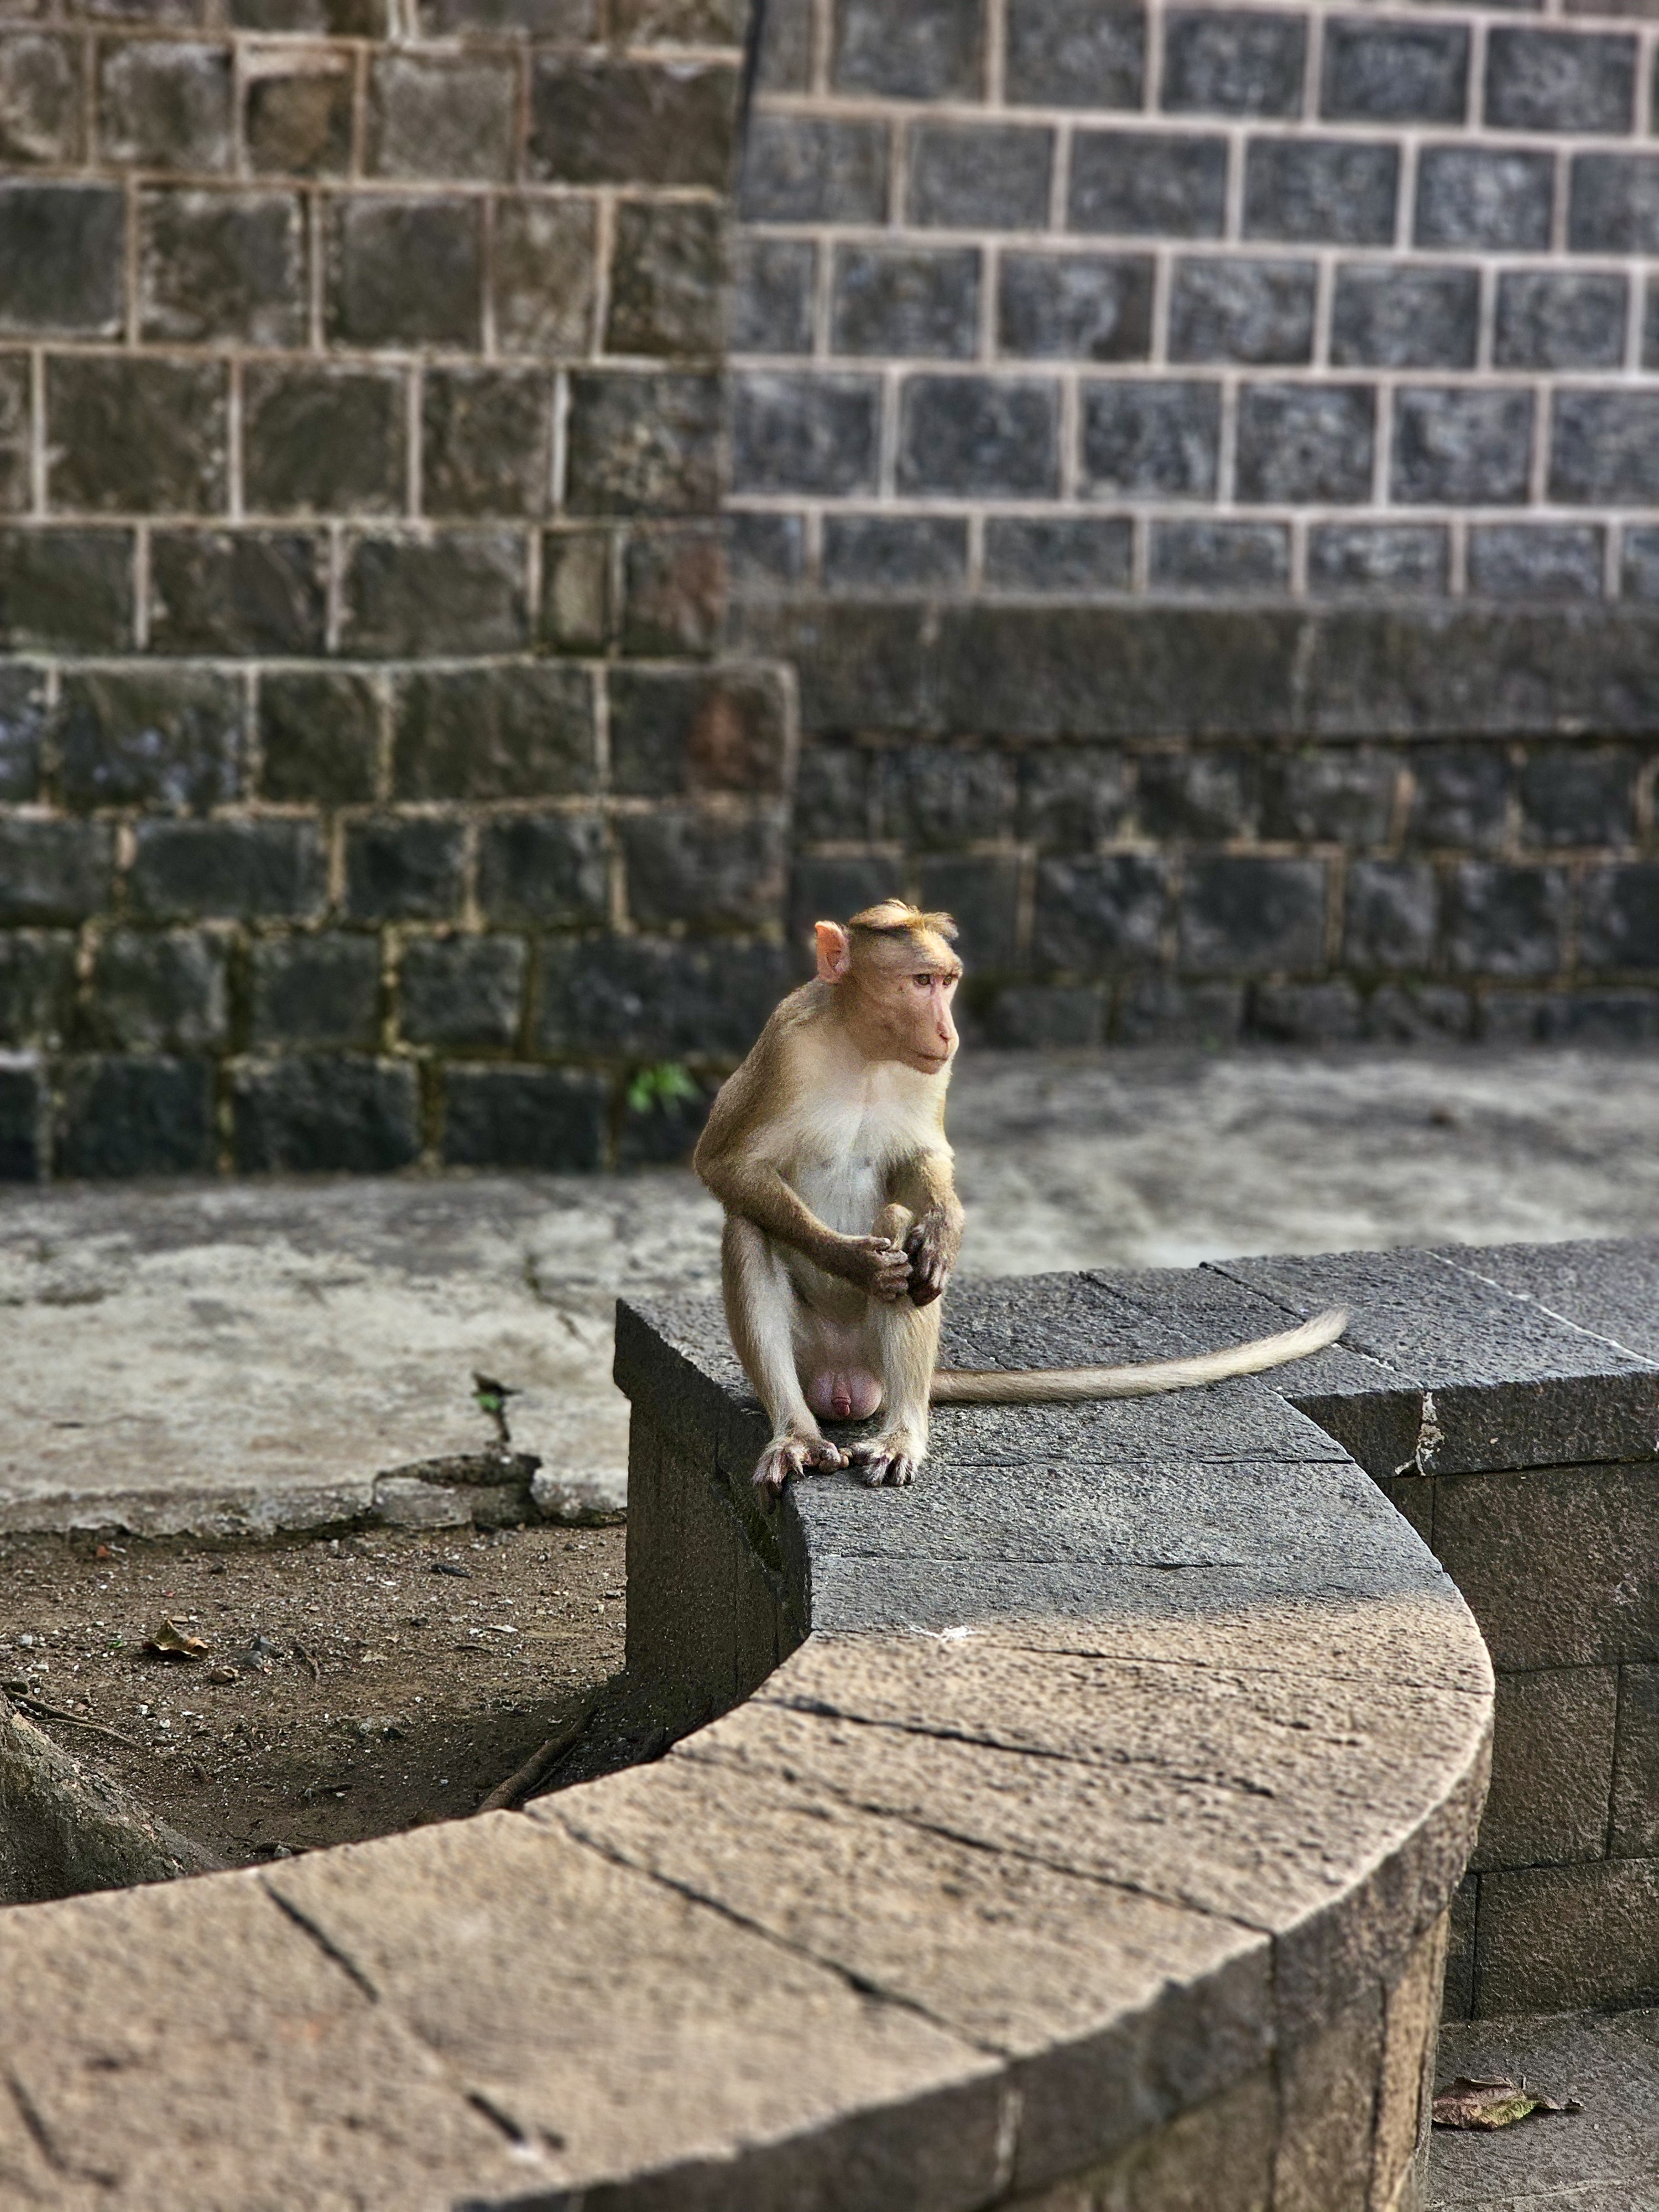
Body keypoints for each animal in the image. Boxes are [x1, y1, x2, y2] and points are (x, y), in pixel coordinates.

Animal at [693, 901, 1346, 1499]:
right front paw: (853, 1259)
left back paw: (903, 1431)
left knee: (902, 1233)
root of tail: (846, 1383)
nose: (949, 1032)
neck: (864, 1050)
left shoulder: (933, 1073)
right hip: (810, 1356)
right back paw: (799, 1434)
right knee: (748, 1228)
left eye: (947, 981)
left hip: (869, 1355)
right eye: (921, 981)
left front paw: (945, 1229)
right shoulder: (783, 1044)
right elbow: (726, 1165)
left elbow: (924, 1163)